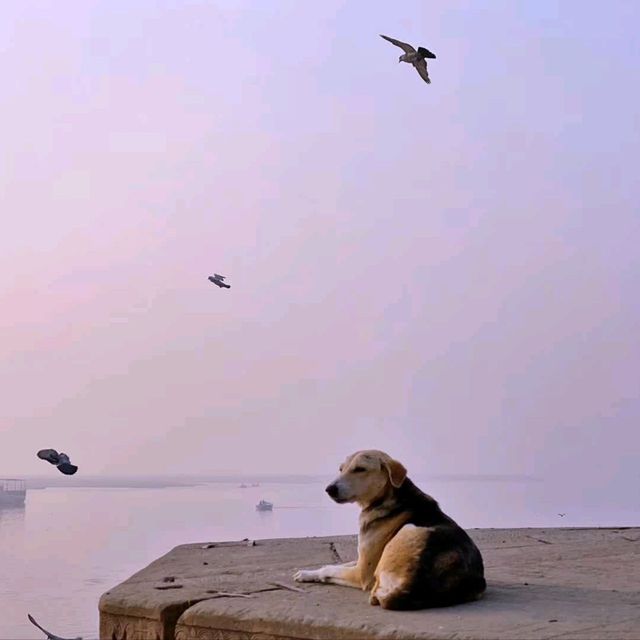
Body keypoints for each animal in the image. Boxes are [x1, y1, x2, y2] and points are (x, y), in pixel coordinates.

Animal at [292, 450, 484, 608]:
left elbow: (331, 568)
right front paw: (307, 573)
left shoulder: (362, 572)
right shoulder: (362, 559)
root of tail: (413, 588)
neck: (388, 497)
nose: (329, 489)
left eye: (360, 469)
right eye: (341, 469)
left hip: (407, 529)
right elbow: (335, 564)